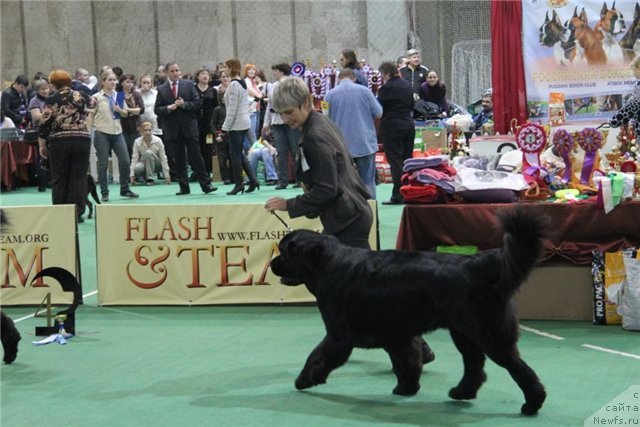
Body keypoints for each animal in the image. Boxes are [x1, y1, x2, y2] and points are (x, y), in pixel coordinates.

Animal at [268, 206, 544, 414]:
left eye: (285, 252)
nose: (272, 264)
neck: (327, 264)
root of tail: (479, 264)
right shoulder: (396, 334)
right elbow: (407, 360)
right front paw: (406, 388)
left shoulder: (339, 334)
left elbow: (317, 355)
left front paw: (304, 379)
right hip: (464, 332)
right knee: (474, 363)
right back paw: (462, 392)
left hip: (489, 333)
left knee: (518, 367)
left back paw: (532, 404)